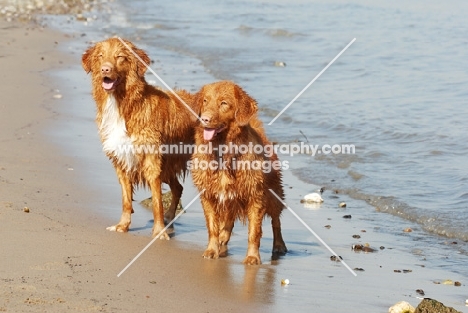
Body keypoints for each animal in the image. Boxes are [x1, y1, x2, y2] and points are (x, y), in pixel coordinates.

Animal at [81, 37, 197, 238]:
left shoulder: (152, 161)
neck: (123, 104)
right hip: (168, 164)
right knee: (178, 188)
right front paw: (123, 225)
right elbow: (126, 199)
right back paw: (170, 220)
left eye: (119, 57)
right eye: (101, 56)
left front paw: (158, 232)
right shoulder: (121, 160)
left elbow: (157, 201)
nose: (105, 69)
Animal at [191, 80, 288, 264]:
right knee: (228, 220)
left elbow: (254, 232)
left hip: (274, 194)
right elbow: (213, 226)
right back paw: (223, 238)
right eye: (205, 101)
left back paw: (279, 245)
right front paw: (212, 249)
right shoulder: (208, 195)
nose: (204, 119)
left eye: (223, 103)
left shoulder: (255, 195)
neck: (223, 150)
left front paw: (252, 257)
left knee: (276, 220)